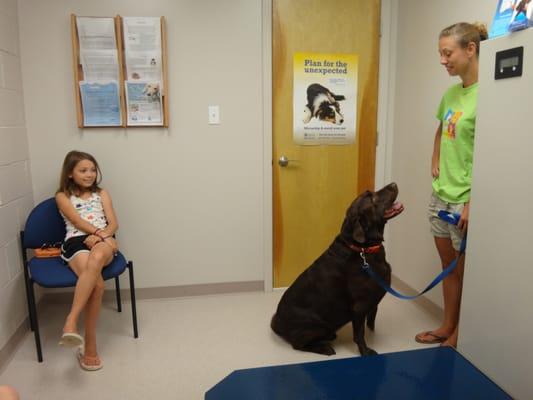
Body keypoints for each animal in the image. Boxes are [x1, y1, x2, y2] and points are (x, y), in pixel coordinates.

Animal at [272, 184, 402, 356]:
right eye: (371, 198)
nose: (394, 184)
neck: (363, 249)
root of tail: (277, 324)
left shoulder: (373, 302)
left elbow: (371, 322)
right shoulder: (359, 307)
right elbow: (359, 334)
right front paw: (365, 351)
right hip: (317, 325)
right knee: (298, 344)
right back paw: (324, 348)